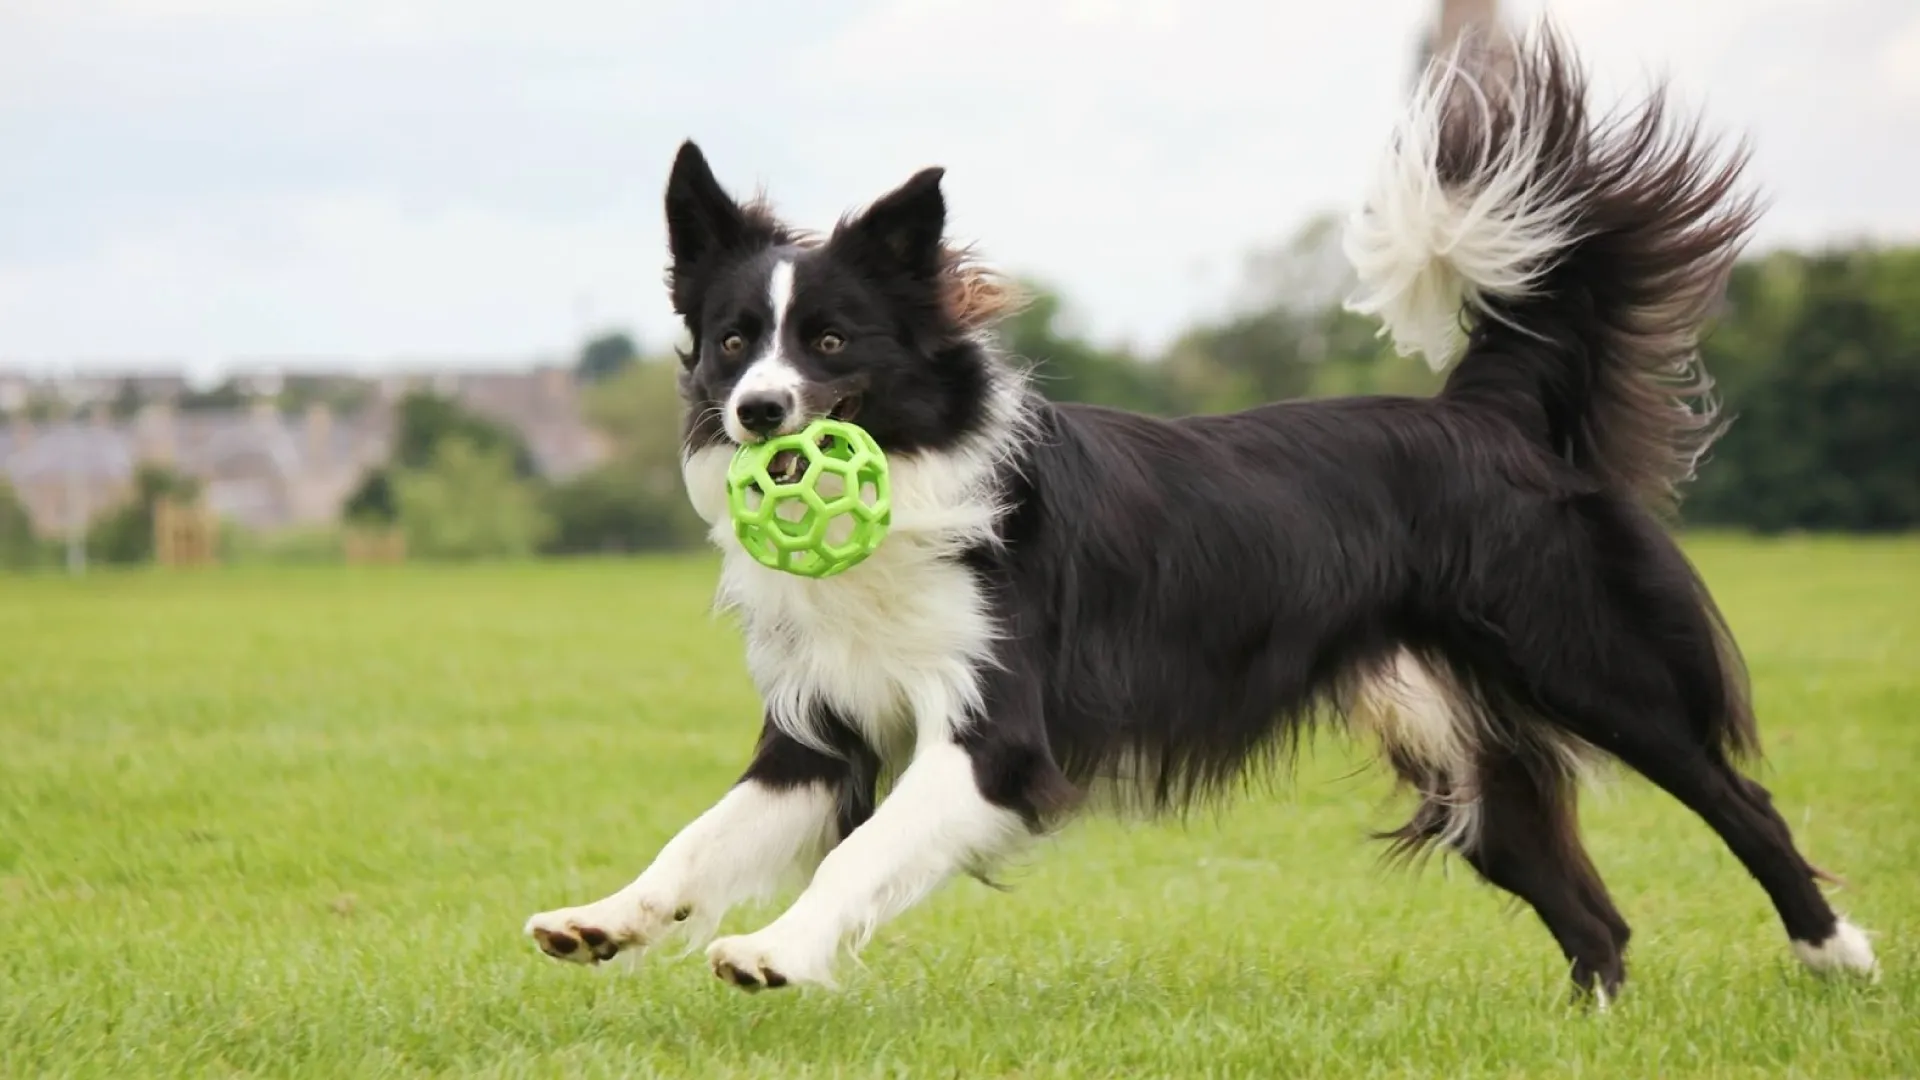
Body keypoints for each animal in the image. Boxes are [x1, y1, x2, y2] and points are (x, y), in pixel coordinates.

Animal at [522, 27, 1873, 999]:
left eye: (834, 341)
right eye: (733, 339)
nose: (758, 413)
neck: (916, 473)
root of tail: (1485, 411)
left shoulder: (999, 736)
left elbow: (863, 854)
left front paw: (777, 953)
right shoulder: (822, 731)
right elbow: (699, 841)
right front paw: (601, 921)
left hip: (1587, 658)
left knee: (1738, 800)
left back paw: (1837, 954)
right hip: (1462, 746)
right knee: (1593, 909)